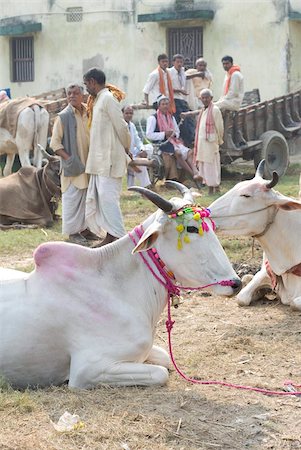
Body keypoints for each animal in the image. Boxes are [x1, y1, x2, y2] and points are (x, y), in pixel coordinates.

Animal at [0, 181, 240, 388]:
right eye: (190, 229)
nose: (235, 283)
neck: (118, 290)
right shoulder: (87, 370)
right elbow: (161, 373)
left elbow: (164, 359)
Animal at [209, 162, 300, 312]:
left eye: (246, 195)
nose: (206, 212)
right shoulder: (265, 272)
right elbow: (241, 298)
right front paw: (259, 292)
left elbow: (294, 303)